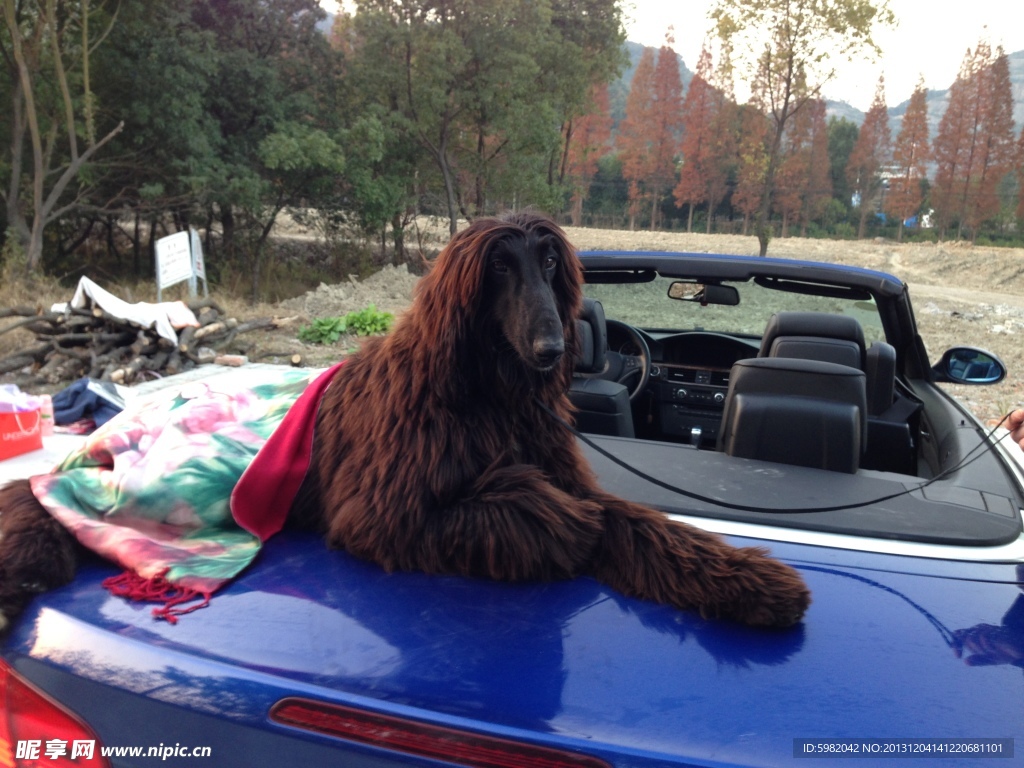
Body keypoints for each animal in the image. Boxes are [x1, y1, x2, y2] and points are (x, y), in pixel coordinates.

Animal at [0, 211, 811, 630]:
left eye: (551, 264)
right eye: (501, 268)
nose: (554, 352)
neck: (488, 394)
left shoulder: (567, 470)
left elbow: (641, 524)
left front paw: (756, 584)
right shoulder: (380, 511)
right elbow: (538, 510)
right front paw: (562, 520)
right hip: (146, 481)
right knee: (38, 503)